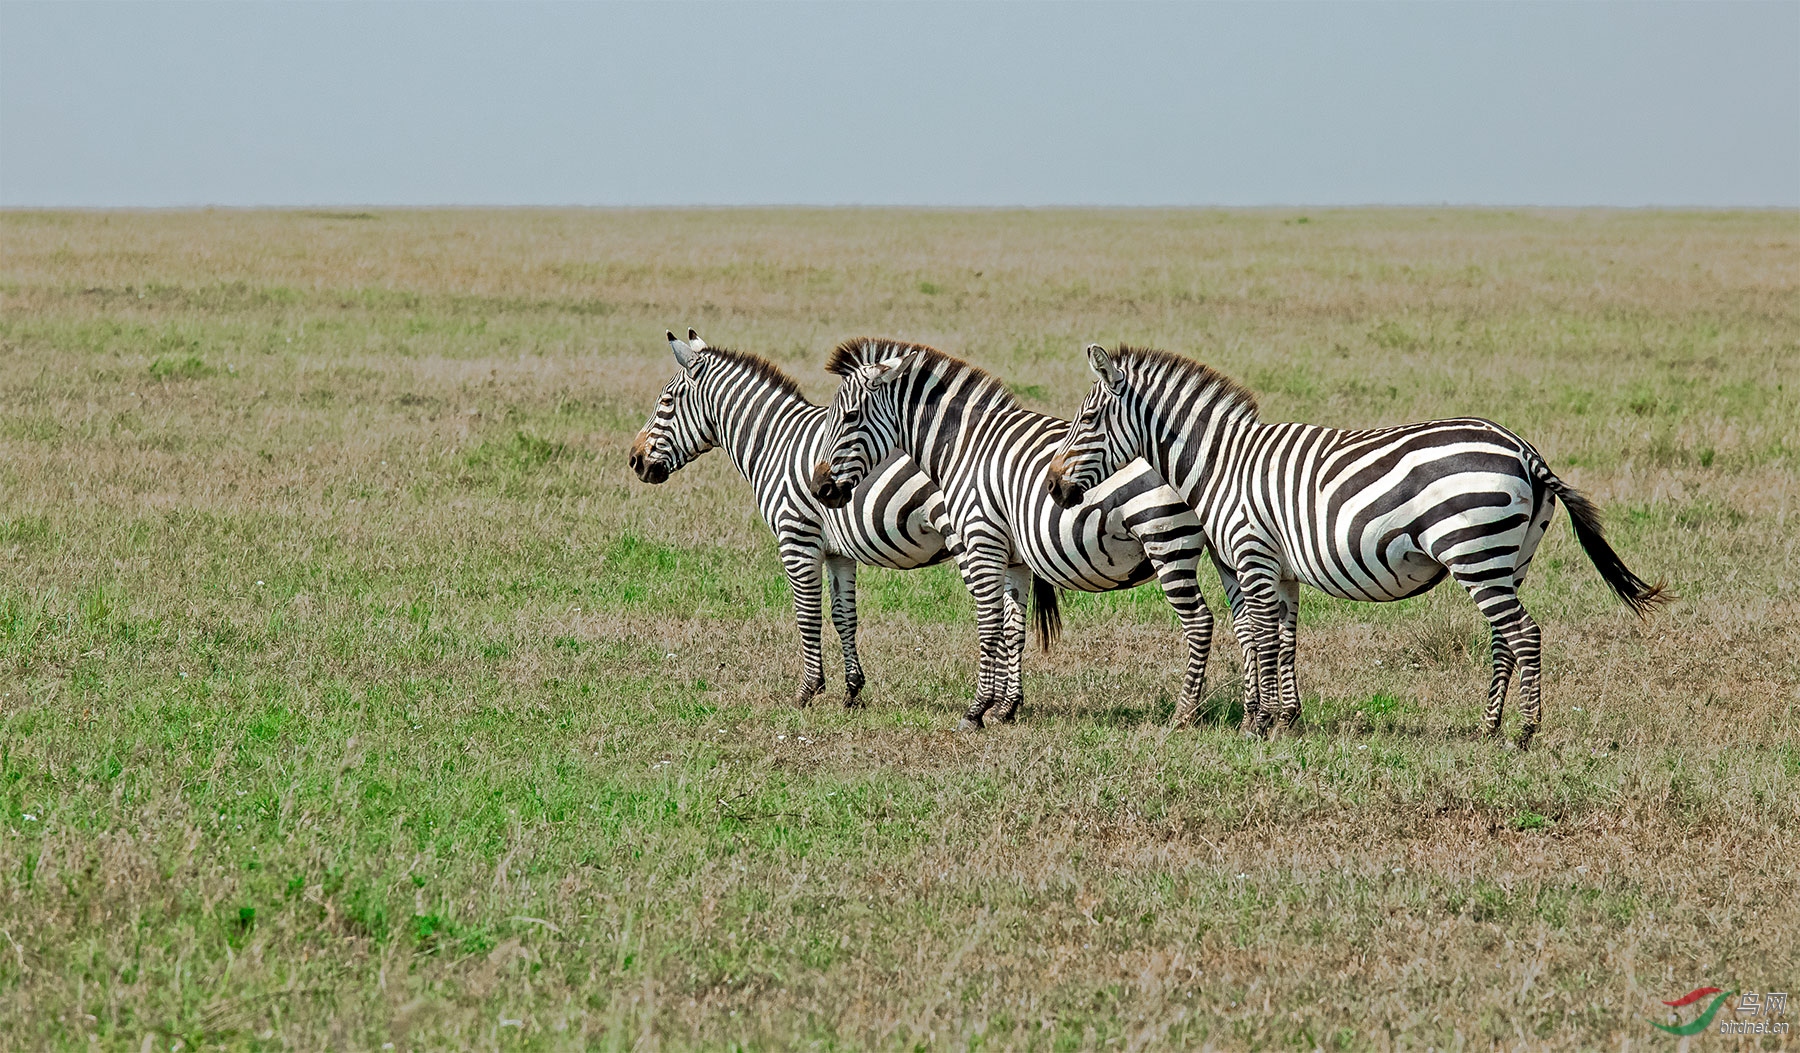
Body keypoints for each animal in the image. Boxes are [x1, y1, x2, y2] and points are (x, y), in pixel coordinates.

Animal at [630, 327, 986, 705]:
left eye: (666, 402)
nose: (634, 460)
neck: (775, 443)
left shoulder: (797, 538)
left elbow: (807, 614)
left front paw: (808, 690)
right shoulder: (838, 552)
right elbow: (843, 616)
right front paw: (852, 691)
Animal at [806, 338, 1245, 730]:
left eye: (849, 418)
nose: (820, 489)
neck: (965, 447)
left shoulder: (981, 541)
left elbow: (988, 626)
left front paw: (976, 711)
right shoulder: (1013, 559)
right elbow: (1013, 630)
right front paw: (1006, 708)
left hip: (1167, 541)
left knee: (1200, 622)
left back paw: (1186, 715)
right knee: (1244, 619)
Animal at [1051, 345, 1663, 748]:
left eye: (1087, 418)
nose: (1056, 489)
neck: (1221, 462)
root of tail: (1524, 450)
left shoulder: (1251, 555)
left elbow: (1259, 637)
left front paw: (1255, 725)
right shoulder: (1278, 569)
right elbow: (1283, 640)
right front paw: (1286, 721)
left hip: (1474, 551)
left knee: (1524, 635)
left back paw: (1524, 734)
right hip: (1512, 559)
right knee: (1504, 640)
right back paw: (1489, 729)